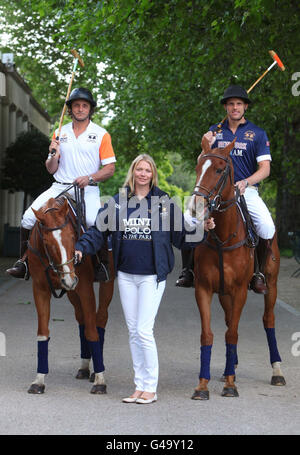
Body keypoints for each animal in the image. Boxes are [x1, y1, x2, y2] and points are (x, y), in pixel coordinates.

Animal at [27, 197, 114, 396]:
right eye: (47, 242)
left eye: (73, 238)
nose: (69, 279)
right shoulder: (40, 289)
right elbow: (42, 334)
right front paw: (38, 381)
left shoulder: (85, 288)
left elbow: (92, 332)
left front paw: (100, 380)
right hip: (72, 293)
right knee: (81, 320)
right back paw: (84, 367)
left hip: (106, 284)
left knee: (100, 319)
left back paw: (95, 371)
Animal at [190, 137, 286, 400]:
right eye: (197, 168)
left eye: (219, 170)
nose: (196, 207)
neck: (223, 237)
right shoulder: (203, 289)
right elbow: (208, 334)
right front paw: (203, 385)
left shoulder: (241, 290)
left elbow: (232, 333)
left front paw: (231, 385)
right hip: (224, 294)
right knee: (227, 322)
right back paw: (228, 367)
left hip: (271, 284)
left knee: (268, 319)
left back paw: (277, 371)